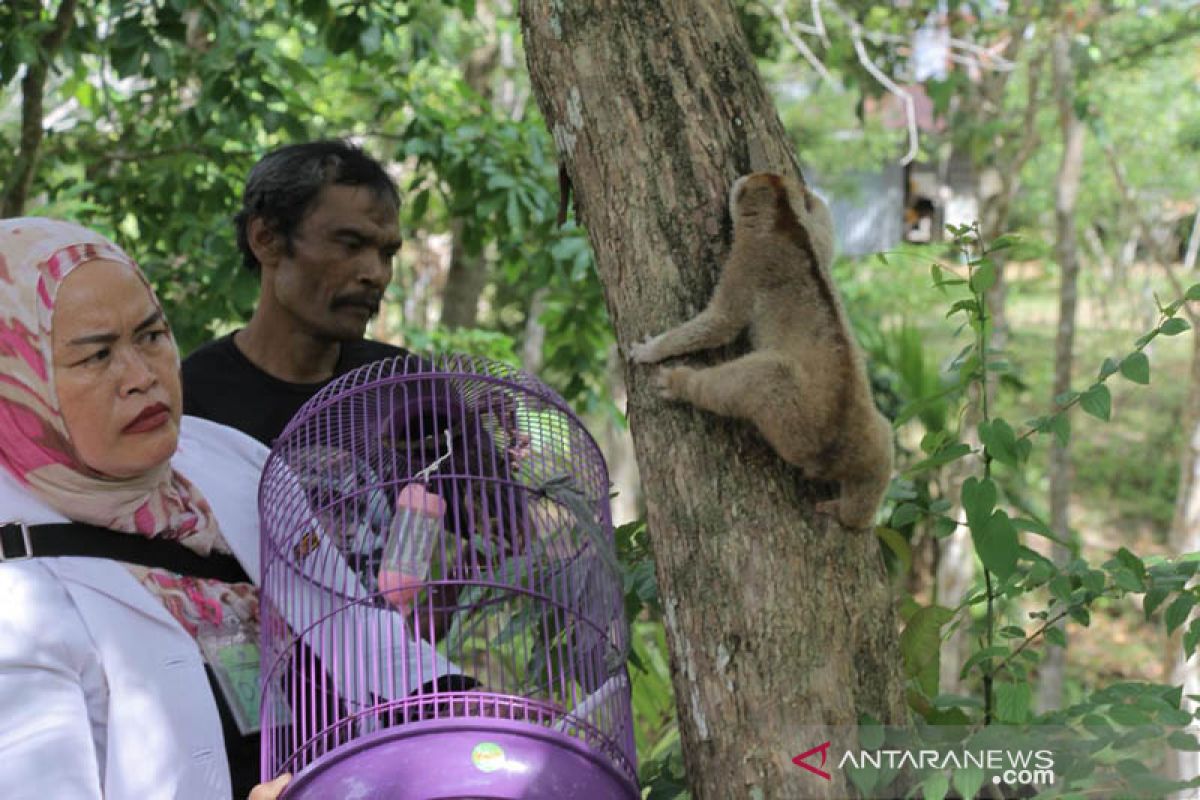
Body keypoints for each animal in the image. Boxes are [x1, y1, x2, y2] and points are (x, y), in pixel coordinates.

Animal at [628, 172, 892, 527]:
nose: (736, 181)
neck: (784, 222)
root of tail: (829, 453)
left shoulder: (747, 260)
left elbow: (721, 321)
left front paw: (652, 349)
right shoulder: (816, 239)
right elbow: (827, 229)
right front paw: (809, 194)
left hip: (793, 424)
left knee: (766, 374)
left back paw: (680, 383)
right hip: (870, 444)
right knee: (880, 456)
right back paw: (849, 516)